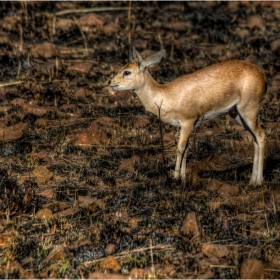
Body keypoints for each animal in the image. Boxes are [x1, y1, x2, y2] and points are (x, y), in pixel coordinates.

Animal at [108, 47, 266, 186]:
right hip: (237, 115)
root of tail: (261, 74)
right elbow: (186, 149)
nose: (110, 82)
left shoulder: (188, 122)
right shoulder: (185, 126)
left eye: (127, 72)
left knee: (261, 136)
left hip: (248, 112)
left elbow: (180, 148)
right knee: (254, 139)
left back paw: (258, 181)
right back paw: (252, 180)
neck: (166, 95)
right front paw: (183, 178)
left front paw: (175, 178)